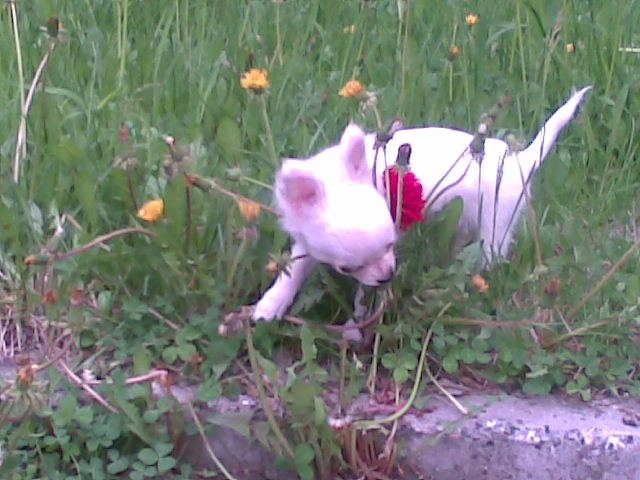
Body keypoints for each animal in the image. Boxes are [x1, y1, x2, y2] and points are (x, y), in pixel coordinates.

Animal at [253, 87, 592, 321]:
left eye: (391, 245)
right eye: (346, 267)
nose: (387, 275)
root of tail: (518, 161)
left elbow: (362, 295)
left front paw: (360, 315)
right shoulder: (306, 238)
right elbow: (295, 266)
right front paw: (272, 303)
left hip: (496, 223)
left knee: (490, 255)